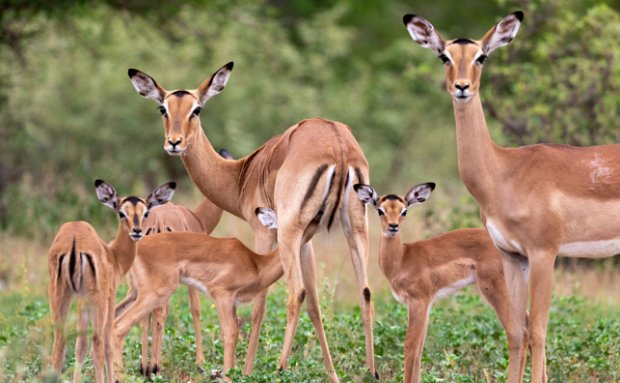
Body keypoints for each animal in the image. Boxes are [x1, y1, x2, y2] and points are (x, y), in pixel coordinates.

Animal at [47, 180, 174, 383]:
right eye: (121, 212)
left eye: (145, 212)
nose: (137, 231)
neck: (113, 255)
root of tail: (74, 241)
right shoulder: (109, 296)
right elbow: (106, 343)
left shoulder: (82, 300)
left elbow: (80, 345)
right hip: (97, 301)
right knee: (98, 342)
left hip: (59, 296)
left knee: (59, 344)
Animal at [112, 208, 282, 380]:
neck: (255, 265)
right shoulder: (222, 296)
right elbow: (231, 333)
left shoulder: (233, 304)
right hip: (155, 294)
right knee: (119, 328)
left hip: (137, 293)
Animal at [115, 147, 234, 378]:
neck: (197, 218)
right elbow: (195, 308)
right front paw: (200, 361)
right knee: (156, 313)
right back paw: (153, 367)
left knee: (141, 314)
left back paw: (144, 366)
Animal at [354, 183, 524, 383]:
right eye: (380, 210)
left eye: (404, 211)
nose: (393, 226)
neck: (402, 258)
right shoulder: (426, 304)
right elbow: (419, 349)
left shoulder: (418, 301)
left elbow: (410, 346)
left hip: (496, 289)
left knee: (517, 333)